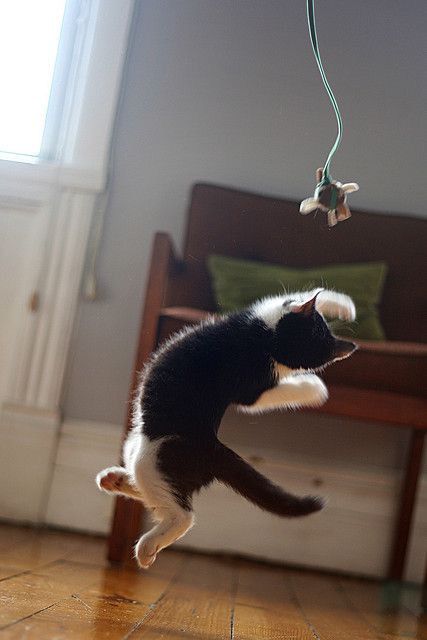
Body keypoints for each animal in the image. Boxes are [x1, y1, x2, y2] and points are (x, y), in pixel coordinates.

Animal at [97, 288, 358, 568]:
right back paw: (116, 480)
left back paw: (148, 546)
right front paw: (345, 307)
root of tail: (213, 448)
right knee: (154, 488)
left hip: (155, 456)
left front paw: (315, 388)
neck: (269, 343)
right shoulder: (259, 319)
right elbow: (298, 294)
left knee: (181, 513)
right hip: (135, 442)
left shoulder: (251, 386)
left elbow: (264, 396)